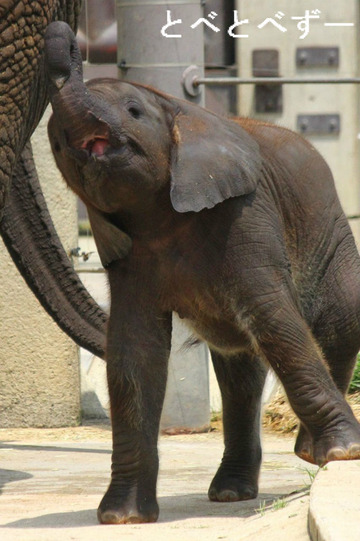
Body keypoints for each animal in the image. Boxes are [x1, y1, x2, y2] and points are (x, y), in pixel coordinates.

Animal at [46, 21, 360, 524]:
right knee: (240, 373)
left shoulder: (246, 213)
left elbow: (275, 320)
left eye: (133, 112)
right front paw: (123, 518)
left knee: (335, 325)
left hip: (331, 235)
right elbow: (134, 354)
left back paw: (310, 454)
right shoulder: (126, 251)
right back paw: (231, 493)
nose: (64, 33)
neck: (180, 112)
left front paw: (346, 453)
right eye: (56, 142)